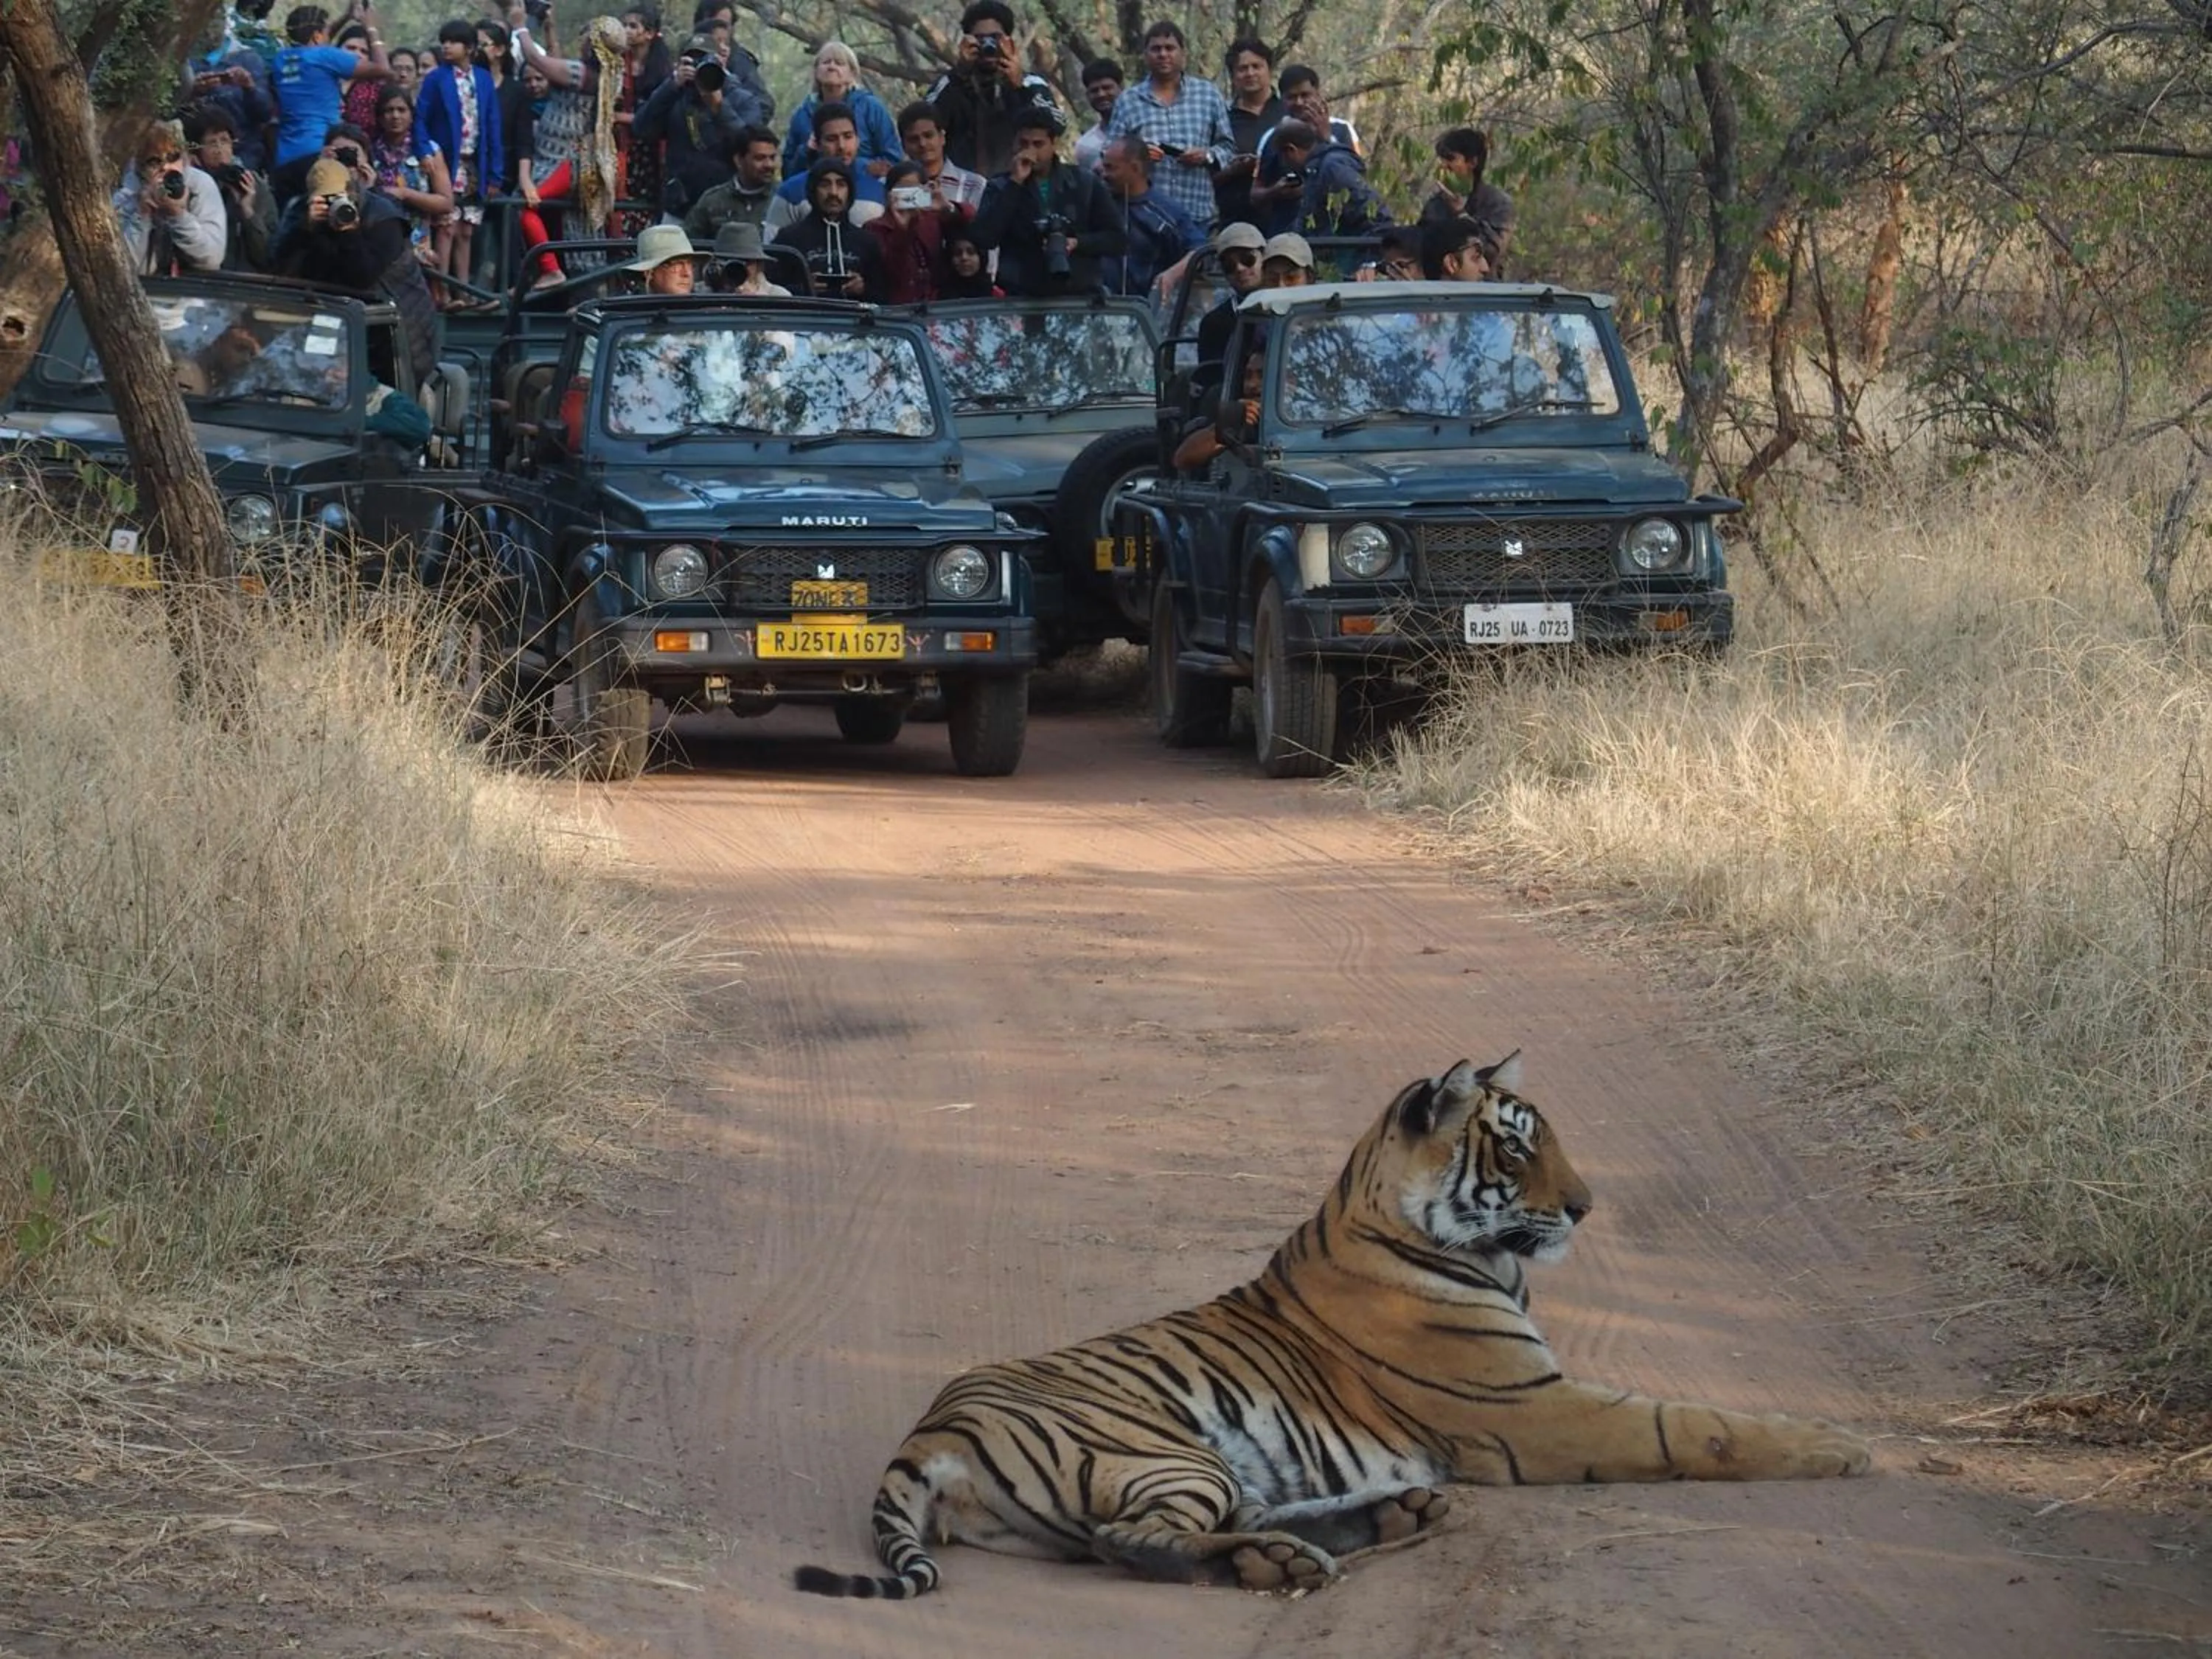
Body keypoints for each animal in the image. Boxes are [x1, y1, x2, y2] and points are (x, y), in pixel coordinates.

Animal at [793, 1052, 1872, 1600]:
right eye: (1519, 1146)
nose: (1586, 1208)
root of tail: (922, 1439)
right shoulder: (1540, 1410)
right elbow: (1695, 1423)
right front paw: (1845, 1445)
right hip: (1159, 1451)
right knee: (1134, 1541)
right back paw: (1295, 1560)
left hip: (1197, 1467)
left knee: (1214, 1521)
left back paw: (1392, 1516)